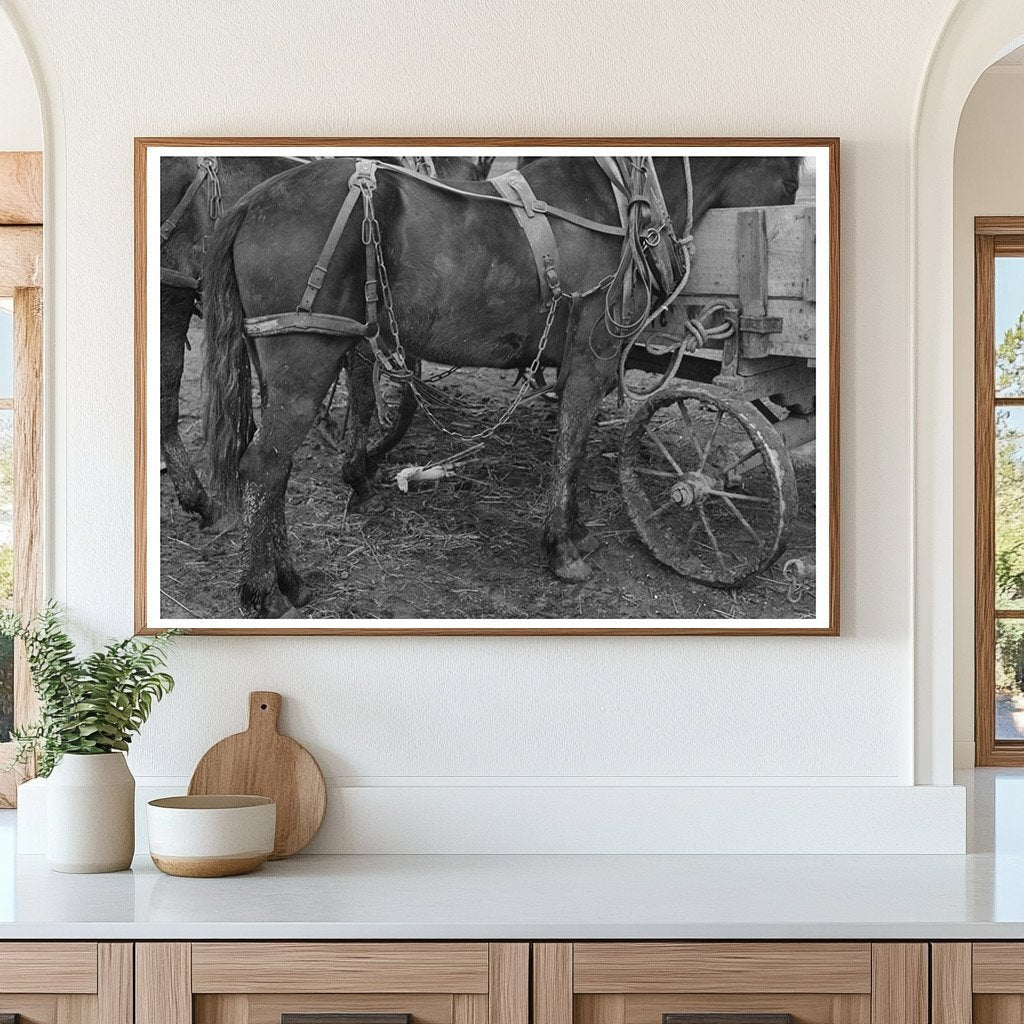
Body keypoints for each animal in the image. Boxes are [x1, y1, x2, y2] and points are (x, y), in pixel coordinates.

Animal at [159, 156, 487, 532]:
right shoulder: (362, 331)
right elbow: (363, 399)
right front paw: (360, 473)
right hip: (173, 296)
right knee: (167, 398)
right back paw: (199, 498)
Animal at [201, 153, 798, 614]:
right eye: (791, 185)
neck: (615, 205)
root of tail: (252, 201)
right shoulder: (592, 361)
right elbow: (569, 451)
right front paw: (561, 549)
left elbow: (573, 447)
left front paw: (576, 532)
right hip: (306, 362)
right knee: (265, 466)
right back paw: (262, 591)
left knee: (275, 470)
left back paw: (289, 581)